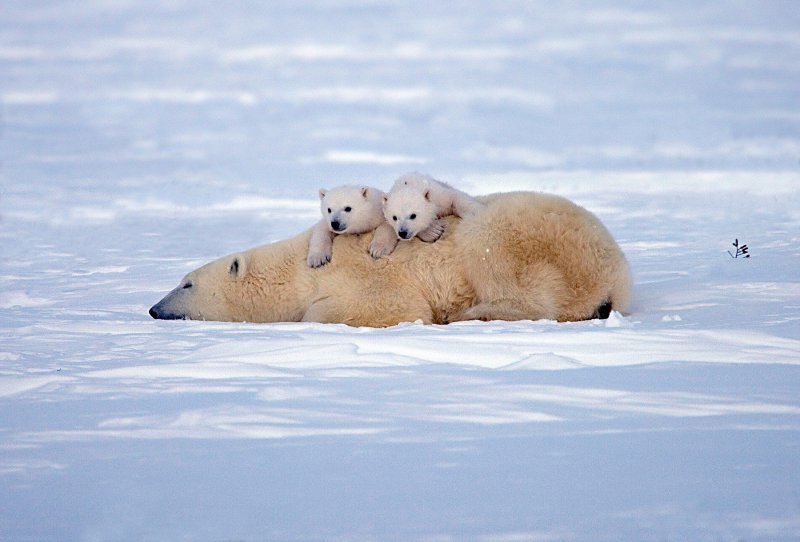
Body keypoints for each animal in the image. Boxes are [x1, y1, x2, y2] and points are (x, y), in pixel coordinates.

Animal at [150, 191, 636, 328]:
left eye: (187, 283)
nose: (154, 309)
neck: (298, 270)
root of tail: (616, 272)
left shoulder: (364, 276)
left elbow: (384, 307)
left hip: (527, 236)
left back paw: (472, 313)